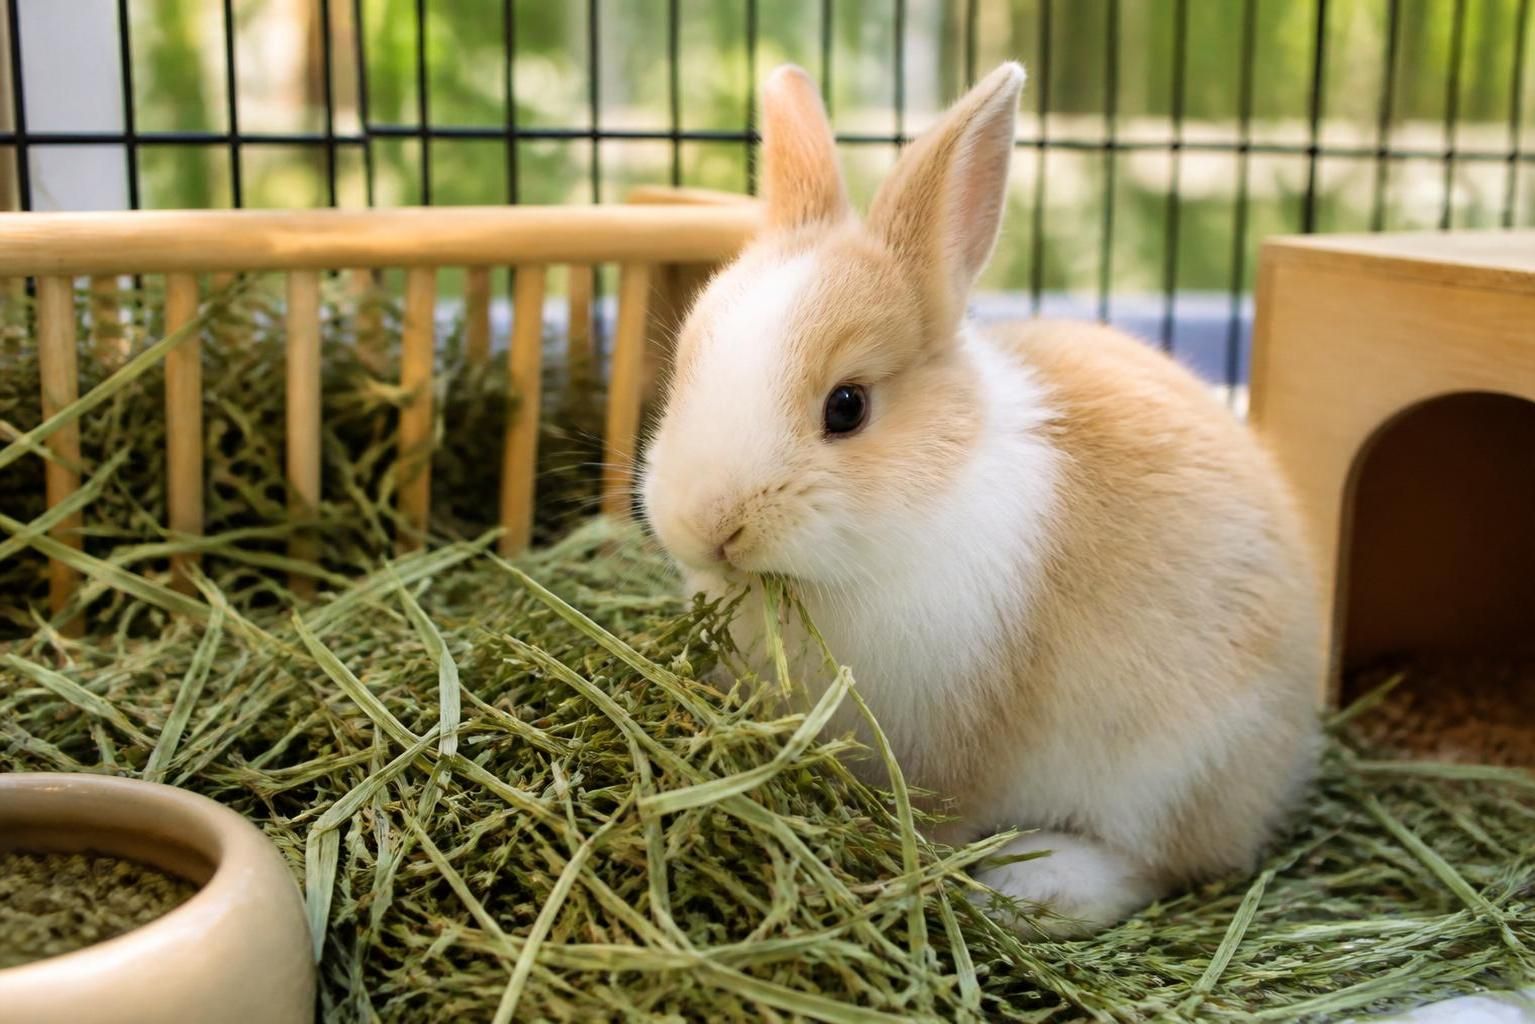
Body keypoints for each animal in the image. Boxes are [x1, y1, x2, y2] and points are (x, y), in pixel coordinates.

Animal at [639, 61, 1323, 936]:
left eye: (846, 407)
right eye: (686, 365)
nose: (710, 526)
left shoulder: (959, 748)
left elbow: (944, 818)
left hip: (1178, 765)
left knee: (1161, 862)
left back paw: (1038, 888)